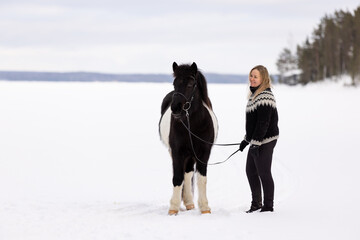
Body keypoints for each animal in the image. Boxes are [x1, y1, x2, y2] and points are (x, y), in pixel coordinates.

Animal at [158, 62, 217, 216]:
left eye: (191, 84)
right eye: (174, 83)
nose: (175, 108)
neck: (193, 125)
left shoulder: (204, 153)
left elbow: (201, 179)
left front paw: (205, 208)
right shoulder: (177, 152)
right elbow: (177, 178)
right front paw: (173, 208)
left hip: (190, 156)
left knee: (188, 173)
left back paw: (189, 203)